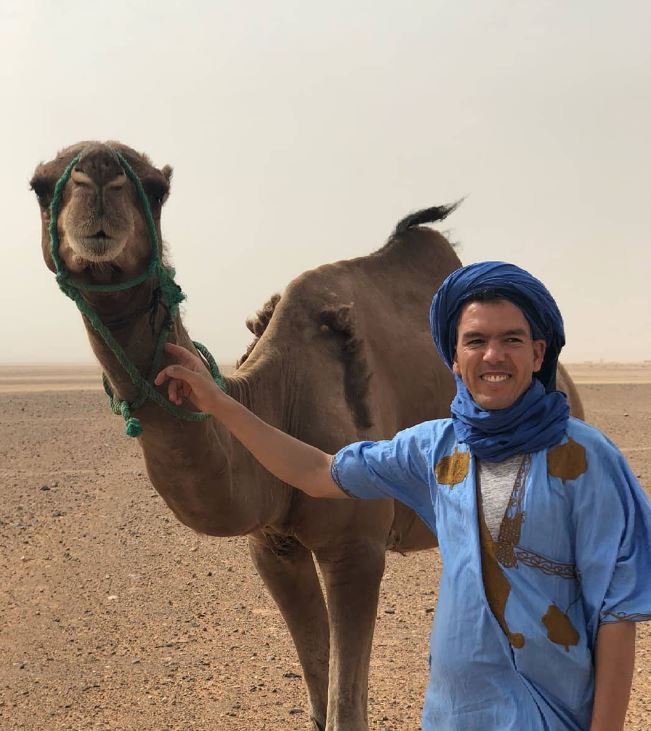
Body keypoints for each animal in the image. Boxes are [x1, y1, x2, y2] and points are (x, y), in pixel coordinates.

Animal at [30, 140, 584, 728]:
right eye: (40, 185)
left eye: (157, 189)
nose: (98, 176)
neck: (279, 395)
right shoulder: (273, 546)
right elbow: (319, 698)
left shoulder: (357, 546)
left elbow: (346, 709)